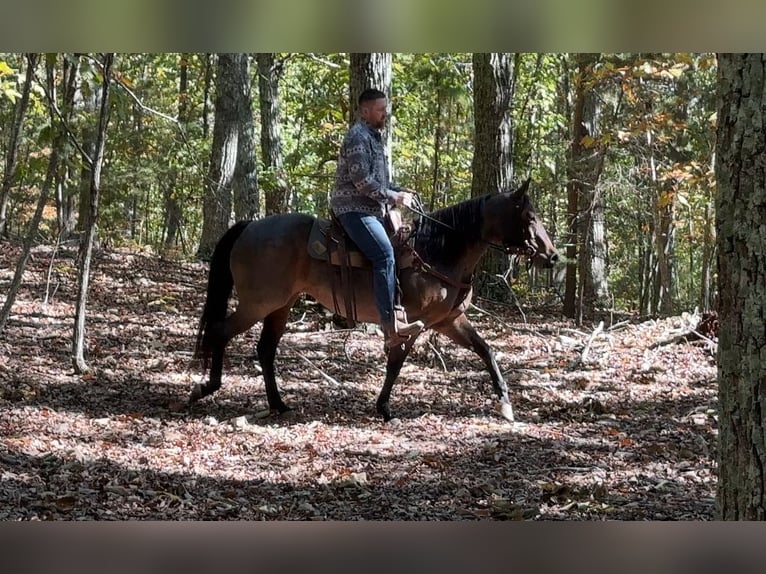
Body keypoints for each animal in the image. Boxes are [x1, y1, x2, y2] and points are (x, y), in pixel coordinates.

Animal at [192, 179, 560, 424]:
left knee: (265, 350)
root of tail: (249, 226)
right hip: (259, 303)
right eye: (529, 218)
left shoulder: (448, 321)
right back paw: (207, 387)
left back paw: (278, 404)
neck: (437, 252)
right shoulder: (413, 321)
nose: (553, 257)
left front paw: (505, 404)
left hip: (280, 305)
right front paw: (384, 407)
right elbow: (396, 362)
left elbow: (486, 351)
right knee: (220, 331)